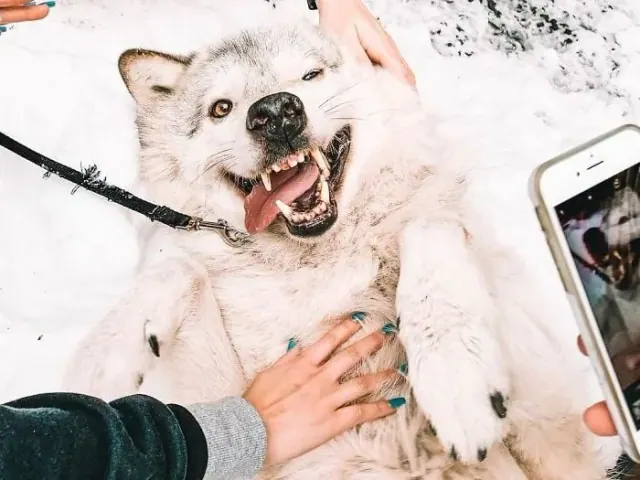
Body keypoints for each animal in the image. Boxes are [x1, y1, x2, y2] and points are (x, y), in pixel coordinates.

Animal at [62, 21, 620, 479]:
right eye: (221, 108)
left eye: (310, 75)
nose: (275, 112)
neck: (318, 267)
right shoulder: (237, 424)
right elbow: (179, 268)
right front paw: (105, 359)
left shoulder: (548, 418)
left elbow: (428, 225)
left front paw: (456, 377)